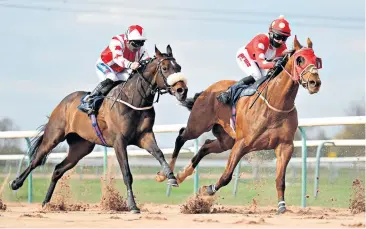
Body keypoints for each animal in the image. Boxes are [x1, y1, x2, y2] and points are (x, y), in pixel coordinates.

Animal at [9, 44, 189, 213]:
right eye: (164, 68)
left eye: (179, 67)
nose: (182, 90)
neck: (134, 99)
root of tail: (63, 102)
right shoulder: (119, 142)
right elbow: (127, 174)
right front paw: (132, 206)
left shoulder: (144, 136)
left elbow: (159, 153)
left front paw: (171, 177)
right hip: (54, 135)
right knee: (36, 160)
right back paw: (16, 183)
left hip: (81, 147)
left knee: (58, 169)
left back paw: (47, 203)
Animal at [156, 35, 322, 213]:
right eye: (300, 59)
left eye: (316, 60)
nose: (315, 82)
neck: (276, 104)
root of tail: (207, 90)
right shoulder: (242, 144)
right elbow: (227, 176)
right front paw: (207, 190)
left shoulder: (285, 146)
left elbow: (280, 180)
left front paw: (282, 206)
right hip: (198, 125)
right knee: (181, 136)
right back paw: (166, 176)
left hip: (226, 140)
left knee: (206, 145)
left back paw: (182, 174)